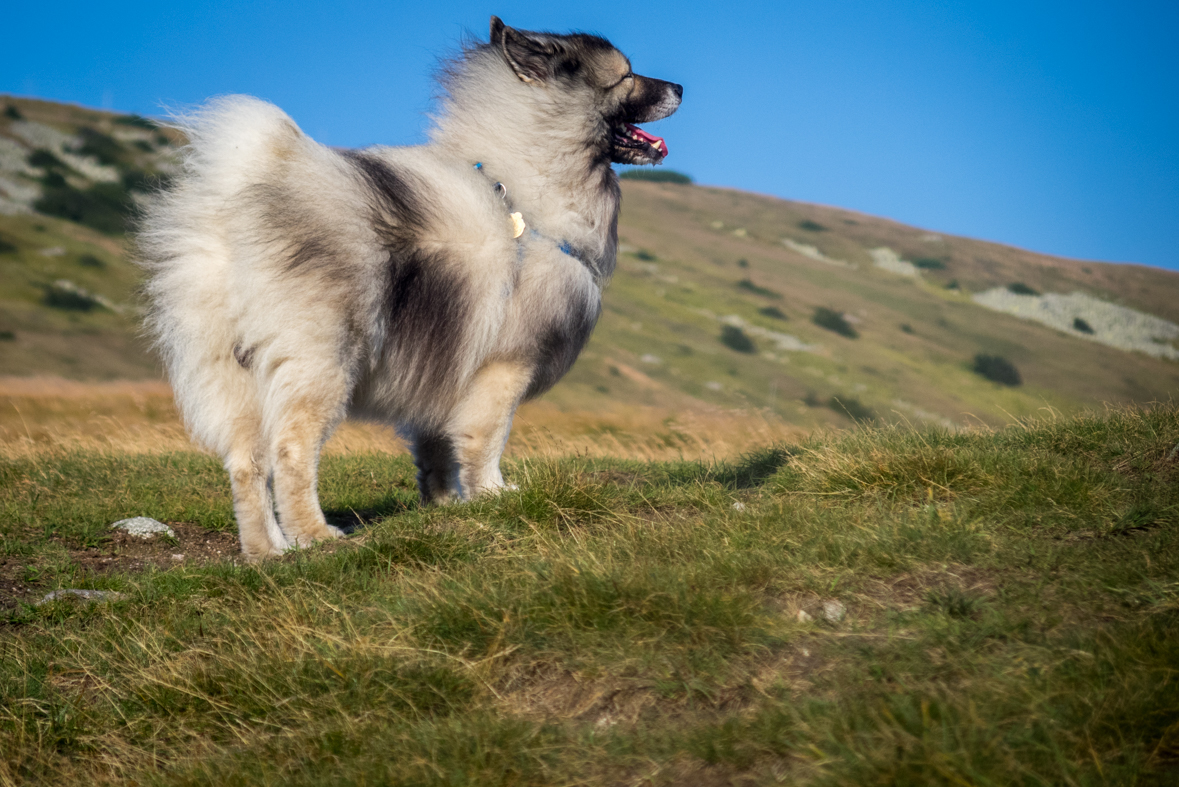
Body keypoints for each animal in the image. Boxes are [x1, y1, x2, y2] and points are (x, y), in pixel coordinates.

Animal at [140, 18, 683, 558]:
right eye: (627, 76)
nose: (679, 88)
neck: (530, 191)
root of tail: (238, 204)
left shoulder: (448, 364)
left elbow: (437, 449)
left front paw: (446, 504)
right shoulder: (505, 367)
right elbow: (486, 439)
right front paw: (494, 494)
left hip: (237, 376)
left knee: (245, 465)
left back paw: (267, 551)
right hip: (321, 364)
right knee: (291, 452)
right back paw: (313, 535)